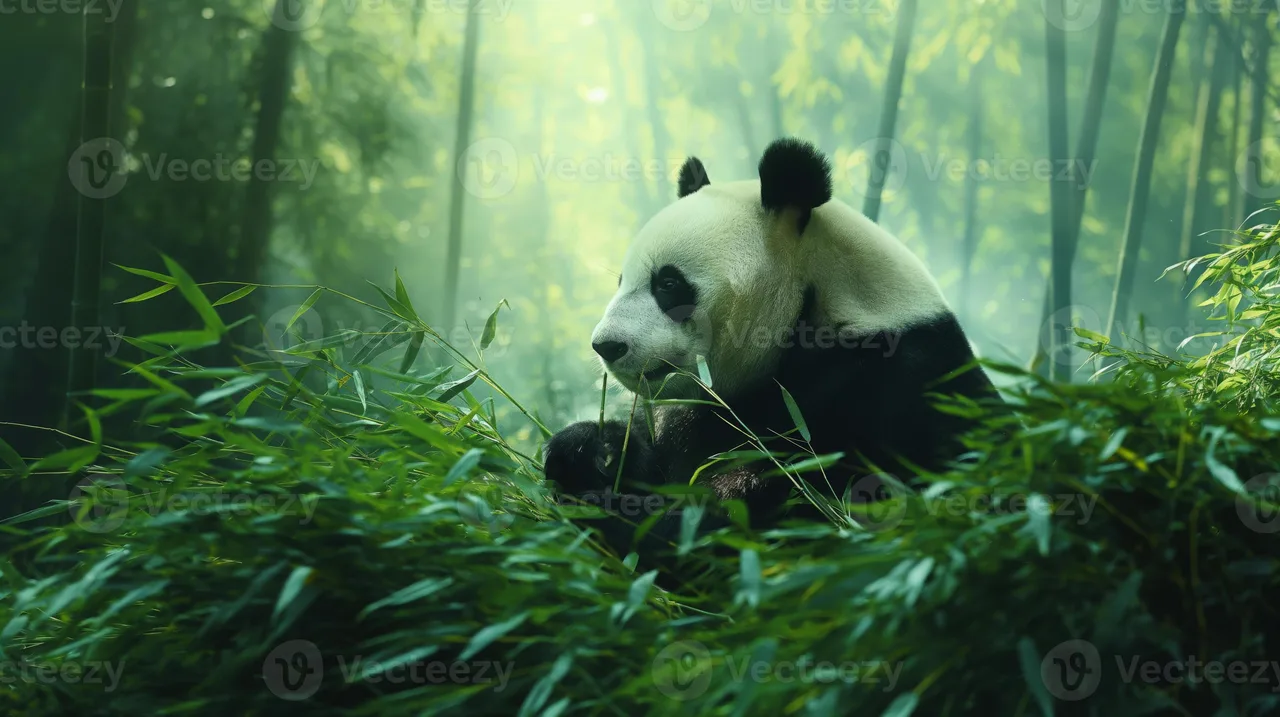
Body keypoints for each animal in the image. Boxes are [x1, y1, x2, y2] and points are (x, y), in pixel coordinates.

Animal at [543, 138, 998, 561]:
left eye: (668, 284)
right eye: (622, 280)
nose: (606, 345)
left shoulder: (889, 387)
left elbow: (791, 512)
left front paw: (616, 511)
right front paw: (589, 449)